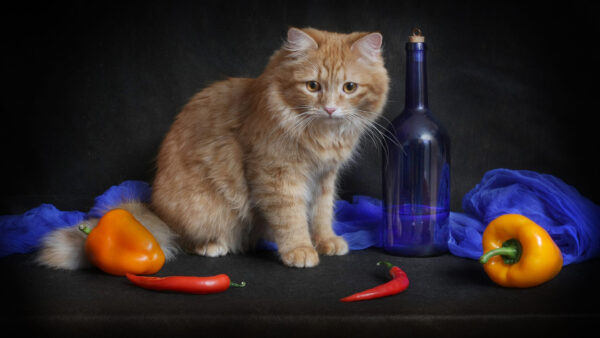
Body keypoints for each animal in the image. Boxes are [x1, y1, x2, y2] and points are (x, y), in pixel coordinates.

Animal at [36, 27, 390, 270]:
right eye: (312, 86)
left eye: (349, 88)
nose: (330, 109)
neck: (321, 136)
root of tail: (155, 210)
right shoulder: (277, 175)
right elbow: (292, 219)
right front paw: (300, 250)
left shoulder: (325, 178)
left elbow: (321, 214)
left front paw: (326, 241)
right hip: (204, 209)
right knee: (184, 239)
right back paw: (213, 246)